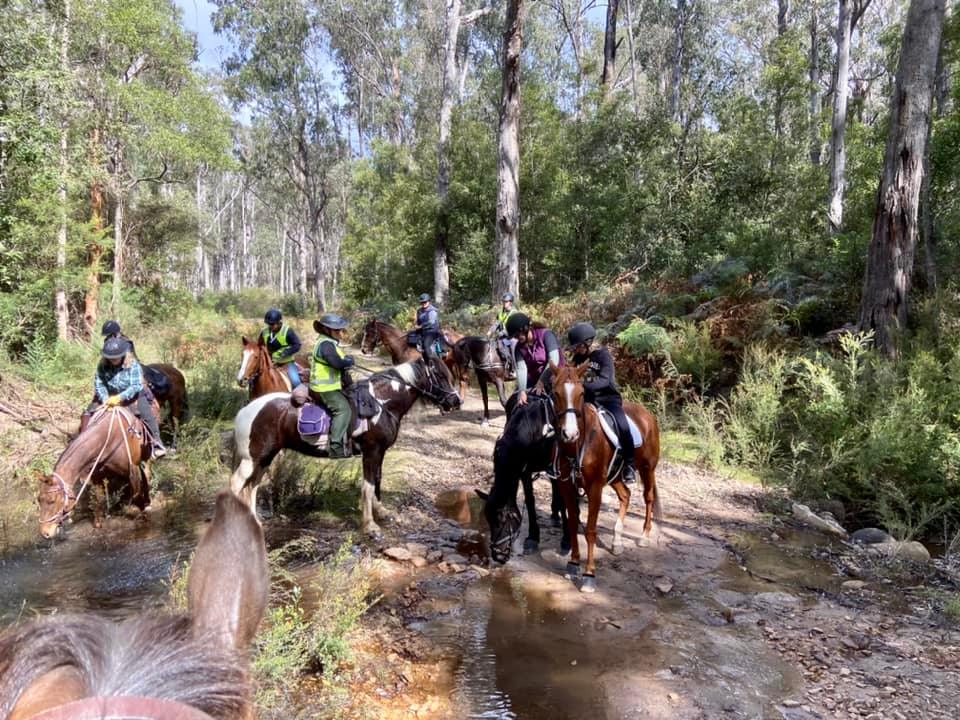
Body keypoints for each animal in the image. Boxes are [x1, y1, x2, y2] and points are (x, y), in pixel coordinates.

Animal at [38, 405, 155, 539]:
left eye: (51, 501)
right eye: (39, 499)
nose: (45, 533)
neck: (106, 442)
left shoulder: (132, 470)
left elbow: (136, 496)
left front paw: (144, 516)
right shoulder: (97, 478)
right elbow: (98, 501)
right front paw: (98, 525)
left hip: (146, 454)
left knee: (147, 473)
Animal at [230, 356, 461, 536]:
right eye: (440, 375)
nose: (456, 402)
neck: (382, 403)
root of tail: (246, 410)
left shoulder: (380, 453)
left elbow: (377, 480)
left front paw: (382, 512)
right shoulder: (371, 452)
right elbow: (368, 486)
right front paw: (369, 525)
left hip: (265, 458)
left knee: (252, 486)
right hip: (252, 459)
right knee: (236, 484)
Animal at [478, 393, 569, 564]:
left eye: (501, 519)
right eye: (488, 519)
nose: (498, 556)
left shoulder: (556, 467)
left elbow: (562, 500)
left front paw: (567, 540)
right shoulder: (524, 472)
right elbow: (530, 500)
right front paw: (533, 537)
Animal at [550, 362, 661, 593]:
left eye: (581, 393)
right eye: (555, 393)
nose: (569, 434)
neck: (579, 444)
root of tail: (647, 415)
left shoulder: (595, 487)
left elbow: (591, 530)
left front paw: (589, 575)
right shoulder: (567, 486)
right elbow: (572, 524)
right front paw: (573, 564)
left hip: (648, 468)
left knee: (648, 498)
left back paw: (644, 536)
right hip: (615, 476)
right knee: (625, 495)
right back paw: (617, 541)